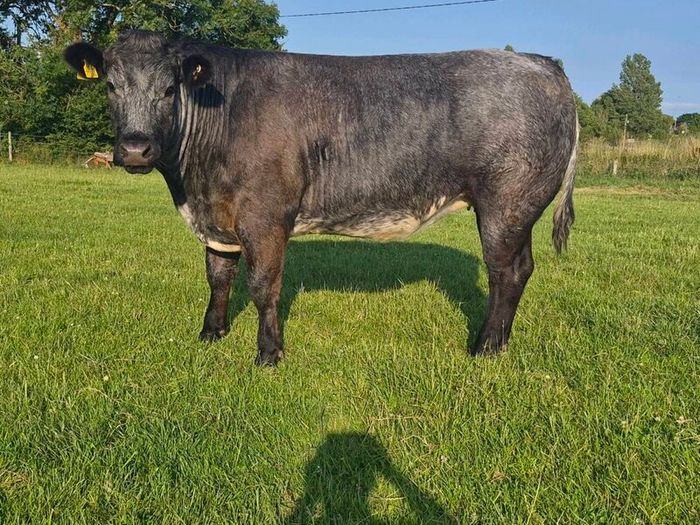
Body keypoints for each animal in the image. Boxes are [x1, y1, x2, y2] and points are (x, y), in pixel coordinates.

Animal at [64, 30, 578, 366]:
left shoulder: (266, 215)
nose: (135, 148)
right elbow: (218, 276)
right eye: (110, 84)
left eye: (170, 88)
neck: (194, 183)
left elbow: (263, 285)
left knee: (504, 272)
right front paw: (211, 333)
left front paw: (268, 354)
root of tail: (539, 61)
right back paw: (499, 344)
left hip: (506, 203)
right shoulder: (219, 218)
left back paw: (485, 348)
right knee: (521, 268)